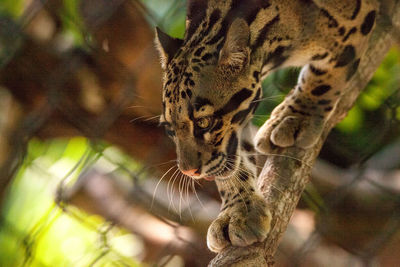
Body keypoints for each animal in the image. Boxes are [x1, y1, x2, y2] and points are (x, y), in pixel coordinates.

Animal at [155, 0, 378, 252]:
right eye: (169, 129)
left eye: (204, 122)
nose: (188, 171)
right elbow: (236, 158)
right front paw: (238, 212)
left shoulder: (358, 20)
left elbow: (327, 75)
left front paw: (298, 116)